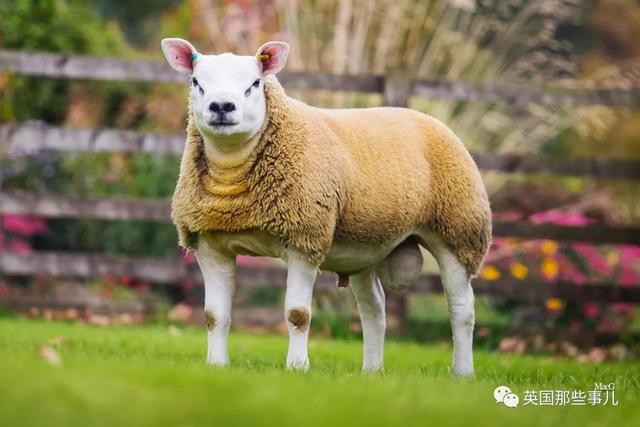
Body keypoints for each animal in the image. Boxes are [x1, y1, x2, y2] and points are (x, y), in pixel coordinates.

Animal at [160, 38, 490, 376]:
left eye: (254, 83)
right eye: (196, 82)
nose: (221, 107)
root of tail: (428, 118)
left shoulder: (304, 237)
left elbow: (297, 314)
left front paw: (297, 367)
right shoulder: (210, 244)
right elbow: (214, 316)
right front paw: (216, 366)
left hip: (459, 231)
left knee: (462, 309)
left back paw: (462, 372)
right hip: (367, 244)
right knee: (375, 308)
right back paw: (372, 372)